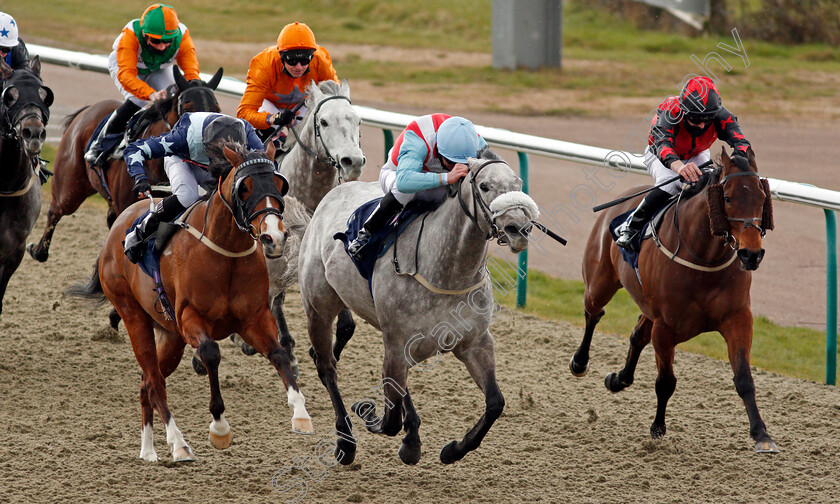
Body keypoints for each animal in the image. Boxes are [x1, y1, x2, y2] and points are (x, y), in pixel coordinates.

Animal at [27, 66, 223, 264]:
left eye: (216, 109)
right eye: (188, 108)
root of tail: (88, 109)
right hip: (70, 188)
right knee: (55, 211)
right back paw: (38, 250)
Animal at [70, 143, 314, 464]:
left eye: (279, 183)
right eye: (245, 187)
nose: (273, 237)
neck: (226, 253)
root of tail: (117, 228)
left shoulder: (254, 319)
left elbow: (279, 354)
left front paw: (301, 414)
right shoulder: (190, 318)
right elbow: (210, 354)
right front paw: (219, 427)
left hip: (170, 337)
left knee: (146, 383)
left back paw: (148, 450)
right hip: (134, 317)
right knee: (155, 383)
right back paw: (179, 444)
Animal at [300, 155, 540, 464]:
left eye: (518, 184)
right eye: (485, 186)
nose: (519, 228)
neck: (448, 271)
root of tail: (334, 192)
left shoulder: (475, 341)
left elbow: (495, 403)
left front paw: (453, 449)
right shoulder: (396, 342)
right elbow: (389, 420)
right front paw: (368, 412)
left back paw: (411, 438)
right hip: (319, 306)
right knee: (327, 367)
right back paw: (346, 441)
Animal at [568, 148, 776, 454]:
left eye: (762, 199)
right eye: (727, 198)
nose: (752, 254)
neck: (703, 257)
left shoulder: (737, 318)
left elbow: (744, 379)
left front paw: (762, 434)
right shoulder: (665, 328)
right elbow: (665, 382)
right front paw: (657, 428)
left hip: (647, 305)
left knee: (637, 335)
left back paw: (619, 379)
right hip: (600, 282)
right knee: (593, 312)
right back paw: (580, 363)